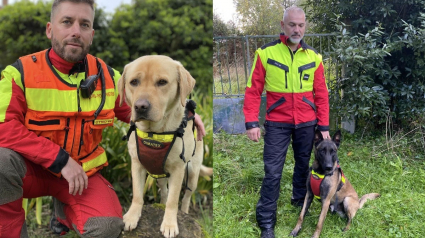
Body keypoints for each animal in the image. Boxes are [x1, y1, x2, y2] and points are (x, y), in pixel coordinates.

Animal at [117, 55, 212, 236]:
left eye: (162, 82)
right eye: (134, 82)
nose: (140, 106)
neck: (154, 133)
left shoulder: (178, 170)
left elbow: (173, 201)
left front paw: (169, 224)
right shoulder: (137, 165)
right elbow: (137, 195)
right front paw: (132, 216)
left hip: (192, 175)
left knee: (186, 198)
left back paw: (184, 211)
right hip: (158, 173)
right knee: (164, 191)